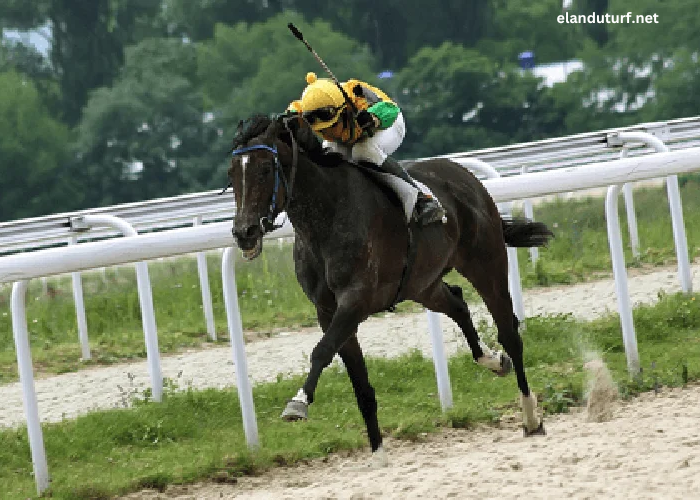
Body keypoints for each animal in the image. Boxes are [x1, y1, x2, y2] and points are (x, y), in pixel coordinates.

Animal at [228, 113, 552, 464]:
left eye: (265, 169)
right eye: (232, 174)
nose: (244, 232)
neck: (327, 218)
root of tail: (466, 177)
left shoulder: (355, 301)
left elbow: (322, 351)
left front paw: (298, 403)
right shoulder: (327, 310)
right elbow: (360, 384)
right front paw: (378, 453)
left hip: (486, 263)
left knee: (509, 333)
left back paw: (531, 417)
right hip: (422, 284)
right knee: (457, 303)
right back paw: (493, 361)